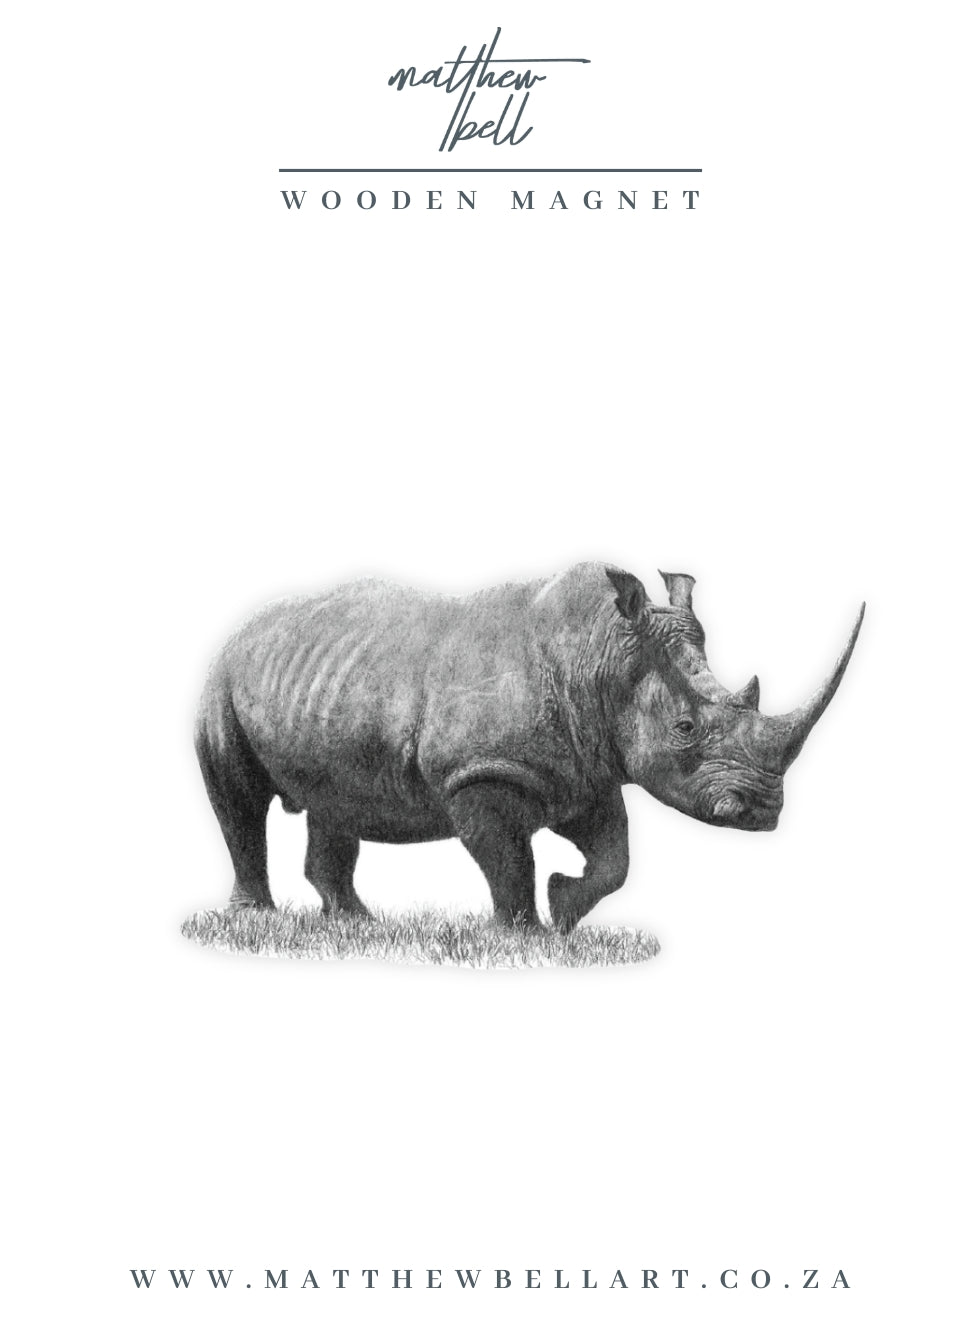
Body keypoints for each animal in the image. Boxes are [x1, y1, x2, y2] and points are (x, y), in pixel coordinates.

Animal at [195, 563, 863, 931]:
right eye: (684, 729)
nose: (762, 811)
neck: (598, 656)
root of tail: (241, 628)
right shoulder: (482, 772)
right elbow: (510, 860)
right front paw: (524, 937)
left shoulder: (587, 772)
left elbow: (616, 858)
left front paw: (564, 910)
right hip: (221, 678)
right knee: (238, 795)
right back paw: (256, 920)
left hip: (327, 681)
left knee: (335, 798)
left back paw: (357, 923)